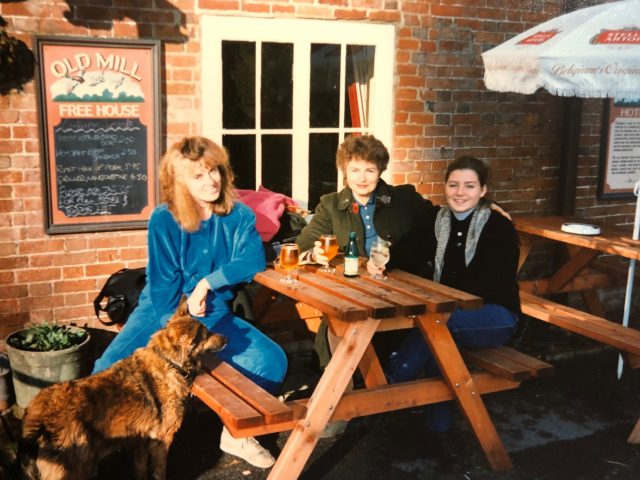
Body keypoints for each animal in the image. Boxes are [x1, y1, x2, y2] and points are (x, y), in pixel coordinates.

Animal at [17, 300, 226, 480]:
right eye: (207, 335)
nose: (226, 339)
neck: (168, 361)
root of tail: (38, 416)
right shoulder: (162, 440)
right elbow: (159, 472)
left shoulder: (141, 439)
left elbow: (140, 468)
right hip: (77, 467)